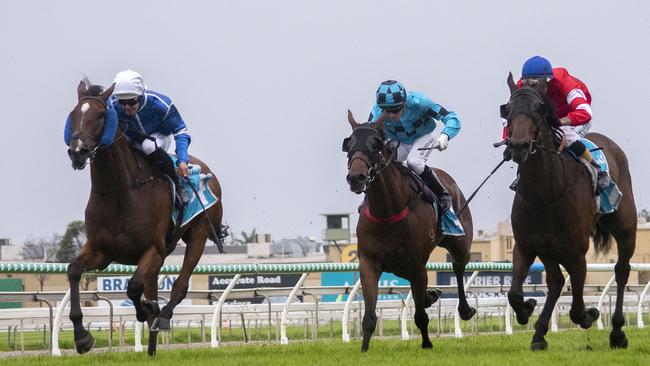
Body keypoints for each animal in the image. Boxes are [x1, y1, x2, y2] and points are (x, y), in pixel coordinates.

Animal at [66, 79, 223, 354]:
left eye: (100, 115)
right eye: (74, 114)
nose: (78, 151)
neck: (119, 190)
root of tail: (208, 173)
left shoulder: (153, 249)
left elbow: (133, 287)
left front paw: (147, 309)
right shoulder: (101, 251)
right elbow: (74, 270)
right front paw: (82, 336)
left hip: (199, 234)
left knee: (179, 286)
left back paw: (162, 315)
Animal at [342, 111, 474, 352]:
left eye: (375, 145)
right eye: (349, 145)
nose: (356, 178)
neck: (387, 211)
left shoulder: (417, 266)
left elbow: (421, 316)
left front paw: (427, 343)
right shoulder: (369, 263)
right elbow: (369, 316)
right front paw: (364, 348)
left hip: (460, 243)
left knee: (458, 266)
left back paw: (465, 309)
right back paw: (432, 295)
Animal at [502, 73, 632, 350]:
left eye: (538, 109)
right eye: (507, 110)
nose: (518, 146)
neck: (546, 194)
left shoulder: (577, 251)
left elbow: (576, 309)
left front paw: (590, 314)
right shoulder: (526, 244)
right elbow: (515, 293)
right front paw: (527, 309)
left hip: (625, 226)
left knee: (622, 270)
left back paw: (617, 332)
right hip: (548, 248)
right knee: (555, 282)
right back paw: (539, 334)